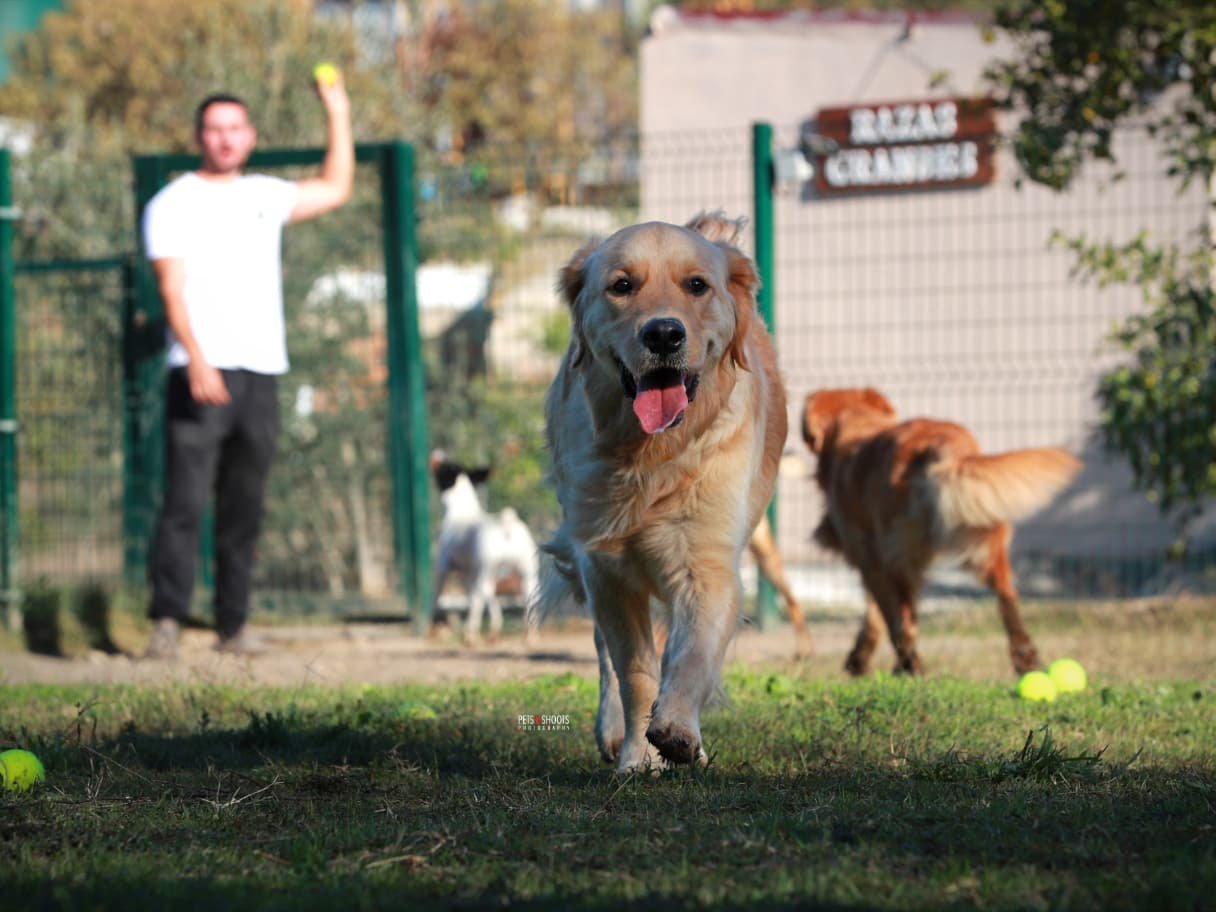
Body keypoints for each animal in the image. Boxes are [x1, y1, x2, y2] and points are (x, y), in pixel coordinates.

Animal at [430, 454, 539, 646]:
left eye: (445, 467)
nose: (436, 454)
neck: (461, 509)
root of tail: (506, 524)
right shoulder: (468, 573)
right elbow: (488, 597)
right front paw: (495, 628)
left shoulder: (443, 567)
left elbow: (437, 597)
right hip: (527, 572)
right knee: (528, 597)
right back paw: (530, 635)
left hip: (485, 569)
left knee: (479, 597)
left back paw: (470, 635)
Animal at [535, 212, 783, 773]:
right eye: (622, 285)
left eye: (697, 285)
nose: (665, 333)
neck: (652, 456)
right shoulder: (603, 564)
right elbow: (633, 670)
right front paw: (637, 757)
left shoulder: (707, 563)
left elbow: (690, 657)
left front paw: (676, 730)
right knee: (606, 654)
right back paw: (612, 732)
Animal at [802, 386, 1079, 680]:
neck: (858, 424)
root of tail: (939, 445)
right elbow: (878, 613)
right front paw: (862, 658)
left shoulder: (873, 560)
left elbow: (887, 615)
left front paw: (872, 661)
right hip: (982, 539)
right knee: (1007, 598)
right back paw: (1026, 659)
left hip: (903, 554)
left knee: (903, 622)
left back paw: (911, 666)